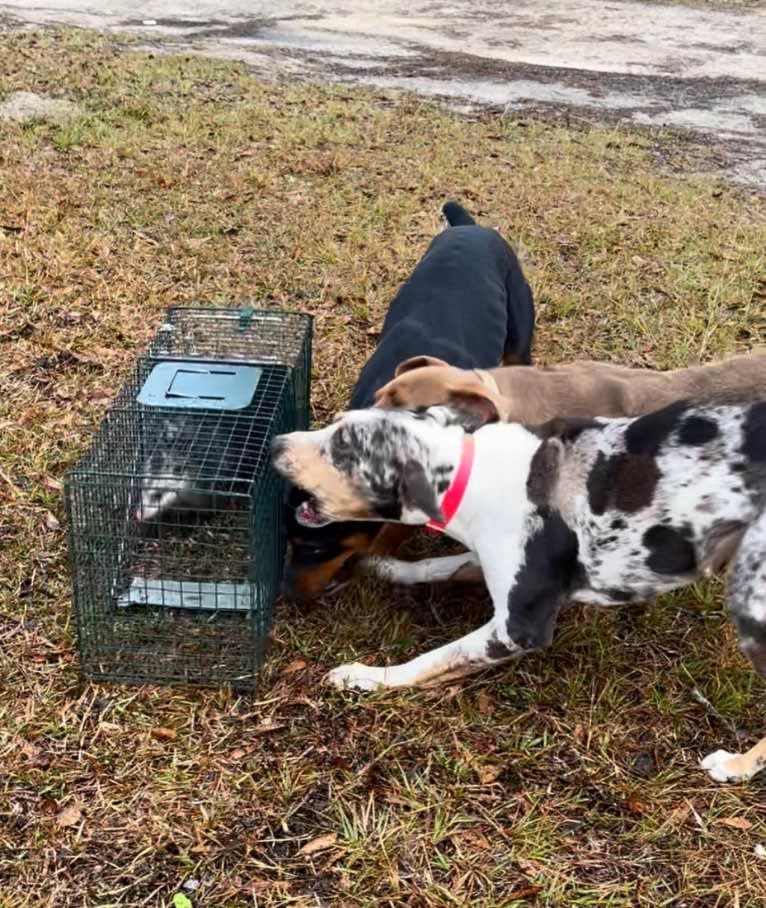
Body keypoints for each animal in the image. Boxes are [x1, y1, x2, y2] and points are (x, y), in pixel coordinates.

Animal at [280, 205, 536, 604]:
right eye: (288, 541)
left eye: (318, 548)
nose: (286, 595)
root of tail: (473, 228)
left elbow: (390, 533)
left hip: (519, 329)